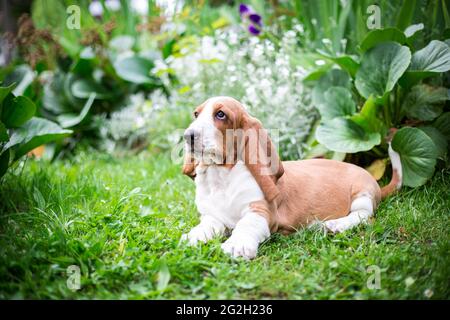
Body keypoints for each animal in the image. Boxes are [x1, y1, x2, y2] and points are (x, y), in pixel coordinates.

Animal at [181, 96, 402, 258]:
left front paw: (237, 245)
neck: (221, 176)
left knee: (364, 215)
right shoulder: (213, 216)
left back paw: (335, 224)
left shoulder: (261, 213)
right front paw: (194, 235)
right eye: (196, 114)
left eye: (220, 114)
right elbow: (207, 225)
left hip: (361, 193)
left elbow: (245, 225)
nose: (187, 136)